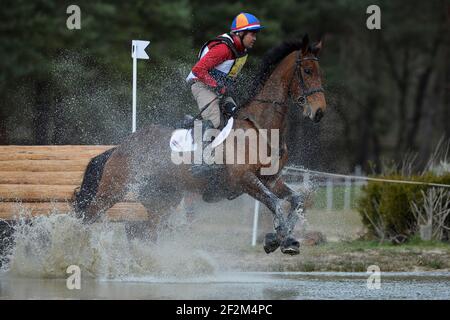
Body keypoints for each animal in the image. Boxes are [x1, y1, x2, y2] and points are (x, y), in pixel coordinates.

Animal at [74, 35, 326, 255]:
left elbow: (295, 200)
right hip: (114, 189)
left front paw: (281, 239)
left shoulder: (270, 179)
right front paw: (281, 237)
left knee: (141, 231)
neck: (261, 127)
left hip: (162, 198)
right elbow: (276, 202)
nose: (320, 112)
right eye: (307, 71)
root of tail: (119, 147)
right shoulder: (244, 179)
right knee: (89, 216)